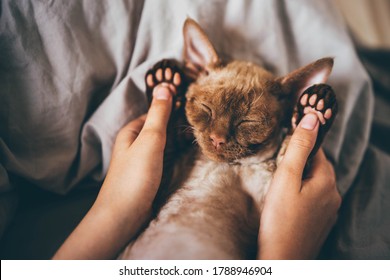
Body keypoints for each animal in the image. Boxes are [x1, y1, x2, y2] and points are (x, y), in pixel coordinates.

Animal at [117, 17, 336, 258]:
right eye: (206, 108)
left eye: (247, 122)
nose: (217, 139)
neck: (233, 165)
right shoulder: (163, 183)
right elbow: (168, 139)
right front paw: (164, 82)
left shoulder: (272, 191)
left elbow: (297, 155)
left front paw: (314, 108)